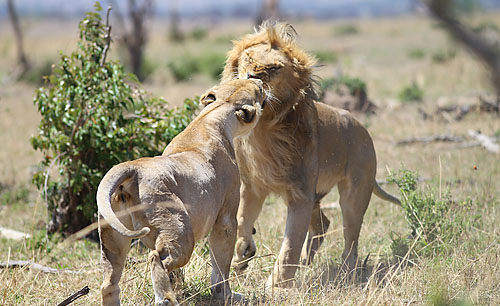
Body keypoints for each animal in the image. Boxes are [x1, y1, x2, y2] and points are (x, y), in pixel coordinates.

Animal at [95, 79, 264, 306]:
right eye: (258, 91)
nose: (260, 80)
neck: (213, 116)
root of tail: (132, 168)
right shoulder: (226, 217)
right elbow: (221, 264)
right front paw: (227, 295)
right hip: (180, 231)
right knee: (155, 258)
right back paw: (165, 299)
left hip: (112, 237)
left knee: (109, 283)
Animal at [221, 21, 400, 286]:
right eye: (248, 59)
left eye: (273, 68)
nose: (251, 78)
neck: (264, 132)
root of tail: (362, 128)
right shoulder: (252, 185)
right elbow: (243, 219)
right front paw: (242, 255)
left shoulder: (300, 194)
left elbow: (290, 245)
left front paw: (276, 286)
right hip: (317, 194)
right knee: (323, 223)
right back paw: (307, 262)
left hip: (353, 194)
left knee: (351, 238)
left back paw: (346, 272)